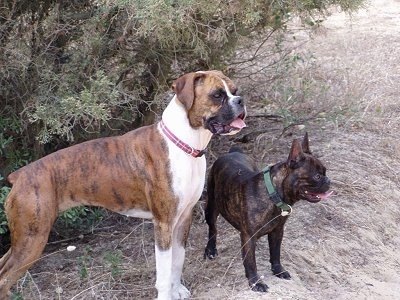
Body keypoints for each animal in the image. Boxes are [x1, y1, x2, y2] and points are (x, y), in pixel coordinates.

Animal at [0, 69, 247, 298]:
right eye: (217, 95)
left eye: (235, 90)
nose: (241, 100)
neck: (183, 143)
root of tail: (20, 175)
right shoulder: (164, 224)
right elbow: (164, 273)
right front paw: (166, 294)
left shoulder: (183, 219)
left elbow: (177, 262)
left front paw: (178, 290)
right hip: (32, 240)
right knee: (4, 279)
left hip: (23, 240)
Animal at [203, 134, 332, 292]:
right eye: (317, 176)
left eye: (325, 172)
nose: (328, 180)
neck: (273, 194)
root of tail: (232, 152)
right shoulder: (248, 236)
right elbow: (251, 262)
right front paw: (255, 282)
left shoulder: (277, 231)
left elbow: (275, 253)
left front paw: (278, 271)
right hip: (211, 207)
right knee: (213, 228)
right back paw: (210, 249)